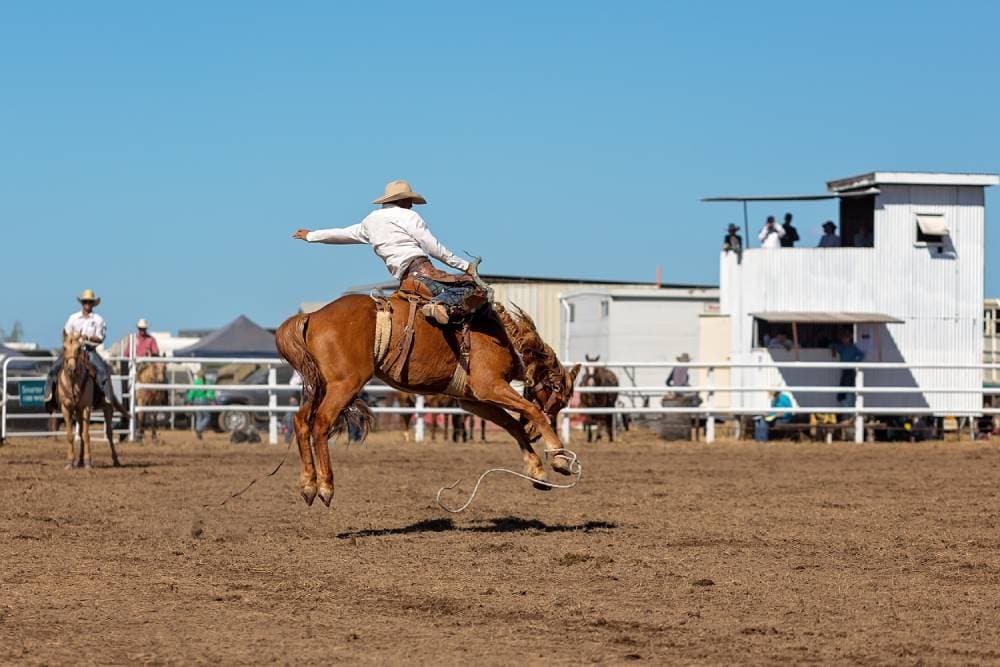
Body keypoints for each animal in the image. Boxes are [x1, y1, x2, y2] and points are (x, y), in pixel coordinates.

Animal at [58, 334, 122, 470]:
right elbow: (70, 435)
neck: (73, 383)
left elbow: (86, 435)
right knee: (81, 431)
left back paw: (116, 460)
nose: (71, 369)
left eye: (78, 348)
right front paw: (70, 462)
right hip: (78, 412)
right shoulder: (66, 408)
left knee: (109, 433)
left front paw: (88, 462)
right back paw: (79, 461)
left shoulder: (86, 408)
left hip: (107, 407)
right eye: (64, 348)